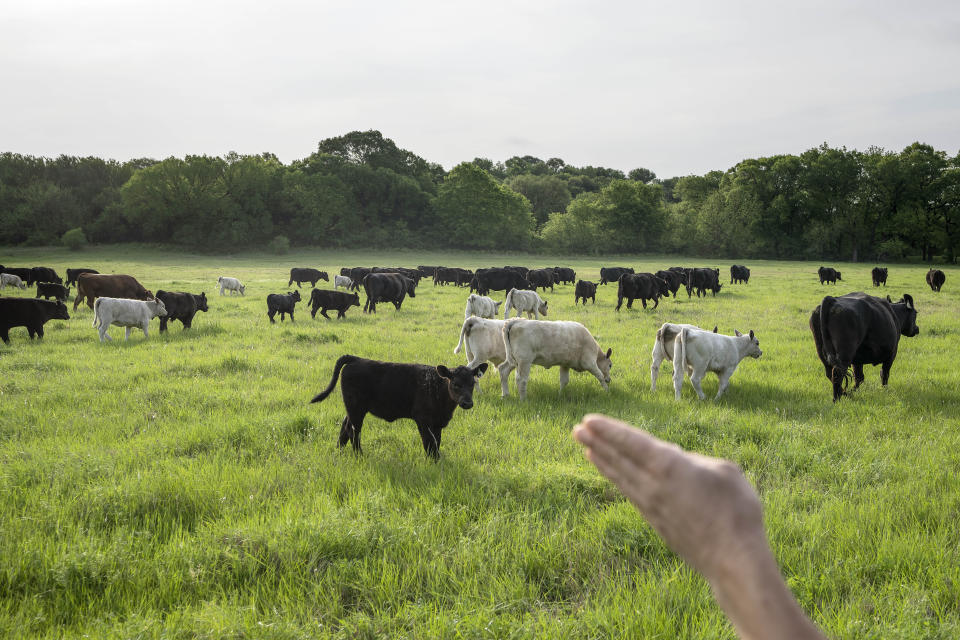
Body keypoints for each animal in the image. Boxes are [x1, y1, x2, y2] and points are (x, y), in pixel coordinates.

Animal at [310, 356, 488, 460]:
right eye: (456, 384)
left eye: (472, 383)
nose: (467, 403)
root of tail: (357, 359)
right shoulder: (422, 420)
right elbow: (428, 442)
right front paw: (432, 461)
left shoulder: (438, 423)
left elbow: (437, 442)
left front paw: (437, 460)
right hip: (356, 408)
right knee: (353, 430)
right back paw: (359, 455)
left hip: (353, 408)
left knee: (345, 427)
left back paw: (339, 451)